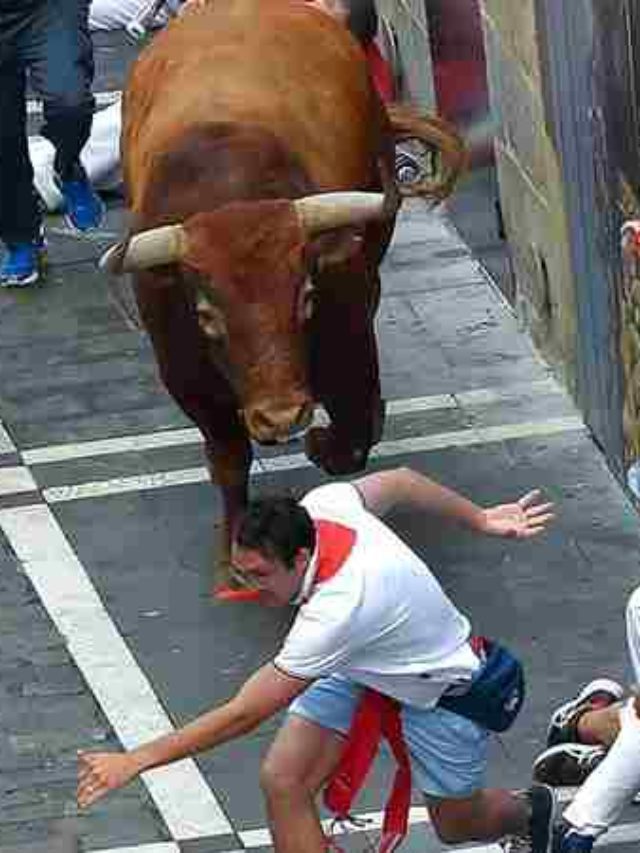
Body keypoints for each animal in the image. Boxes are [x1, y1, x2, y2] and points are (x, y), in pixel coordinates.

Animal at [102, 0, 468, 592]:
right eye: (206, 316)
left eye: (306, 298)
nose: (281, 417)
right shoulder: (185, 377)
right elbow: (228, 459)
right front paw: (234, 553)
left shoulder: (347, 336)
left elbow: (354, 430)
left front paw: (325, 443)